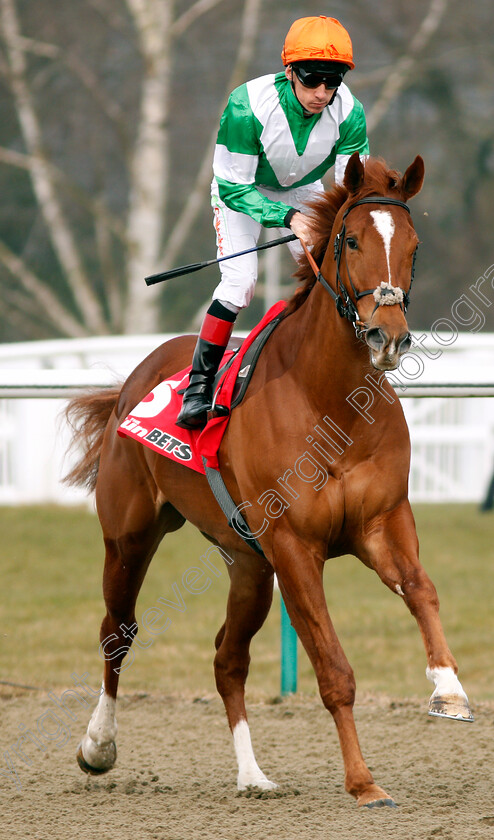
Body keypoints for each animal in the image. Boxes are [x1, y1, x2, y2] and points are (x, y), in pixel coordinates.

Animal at [65, 154, 470, 812]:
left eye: (413, 244)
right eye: (350, 240)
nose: (388, 336)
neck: (331, 403)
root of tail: (134, 379)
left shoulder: (381, 522)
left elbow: (421, 589)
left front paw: (450, 688)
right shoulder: (295, 547)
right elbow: (334, 670)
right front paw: (363, 782)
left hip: (247, 565)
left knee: (227, 659)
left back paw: (252, 775)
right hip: (129, 537)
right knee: (116, 631)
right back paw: (99, 747)